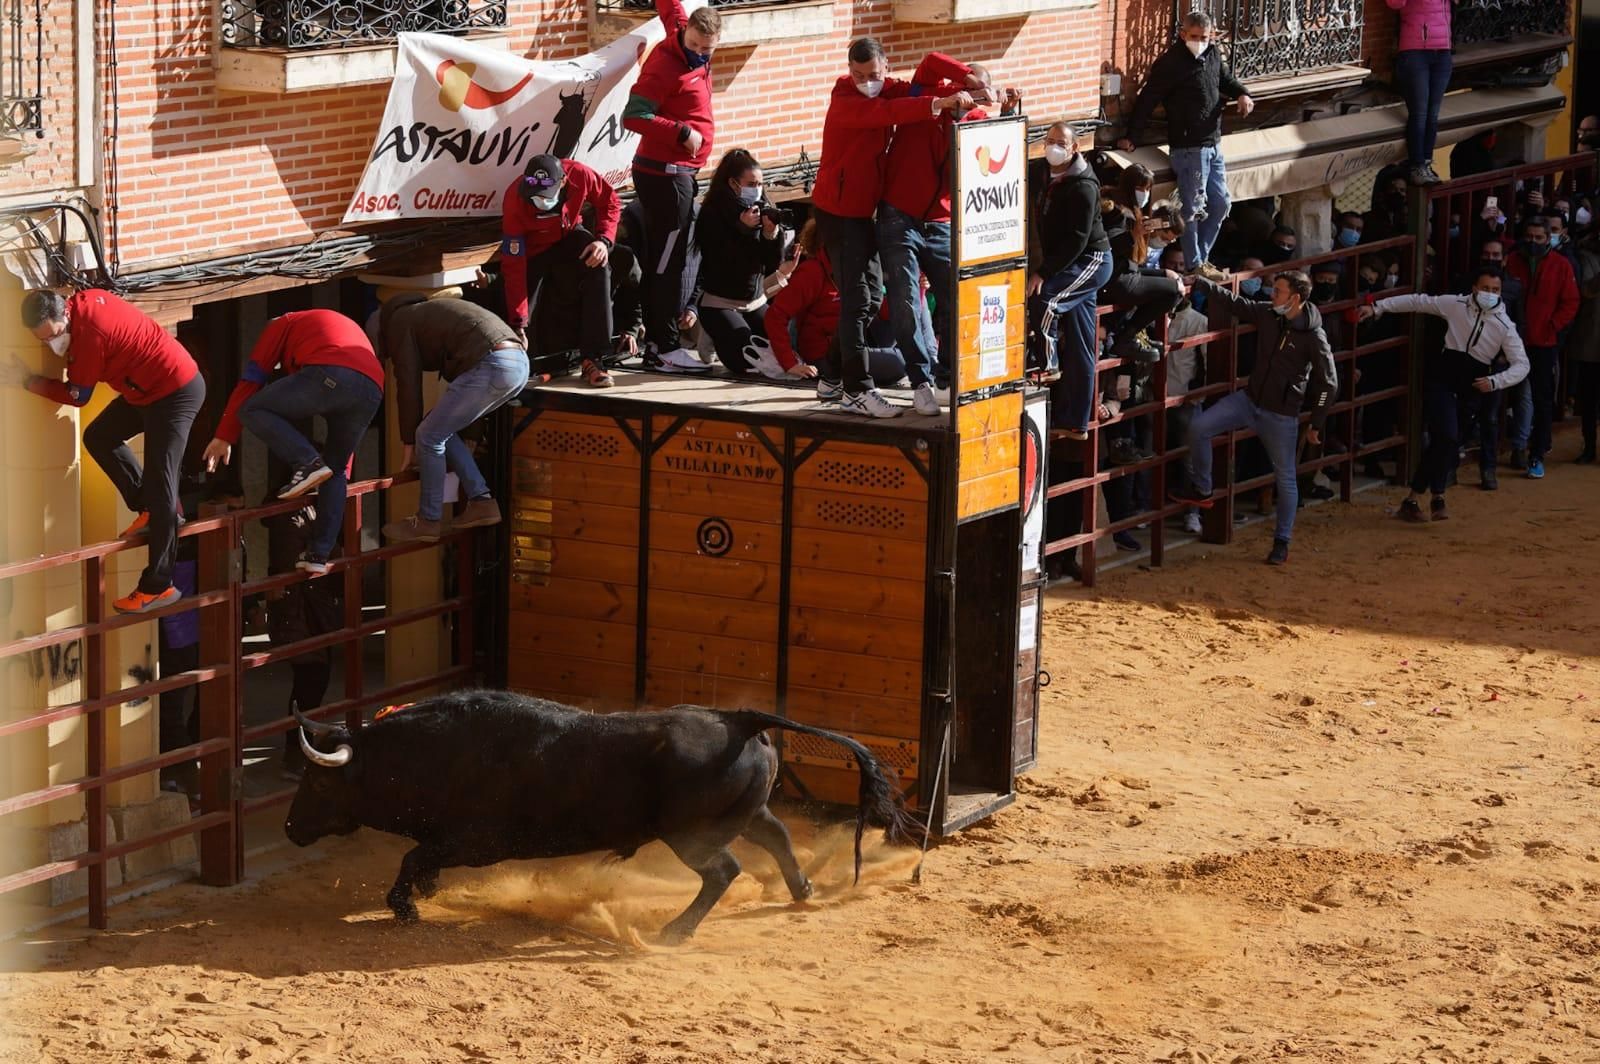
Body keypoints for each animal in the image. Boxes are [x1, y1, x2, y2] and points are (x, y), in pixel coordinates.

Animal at [288, 688, 928, 940]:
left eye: (316, 783)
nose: (291, 829)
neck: (429, 752)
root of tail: (738, 720)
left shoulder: (476, 842)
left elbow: (413, 856)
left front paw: (406, 906)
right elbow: (420, 860)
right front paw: (421, 894)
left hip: (689, 836)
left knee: (723, 870)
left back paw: (674, 932)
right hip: (745, 814)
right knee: (776, 839)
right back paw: (801, 892)